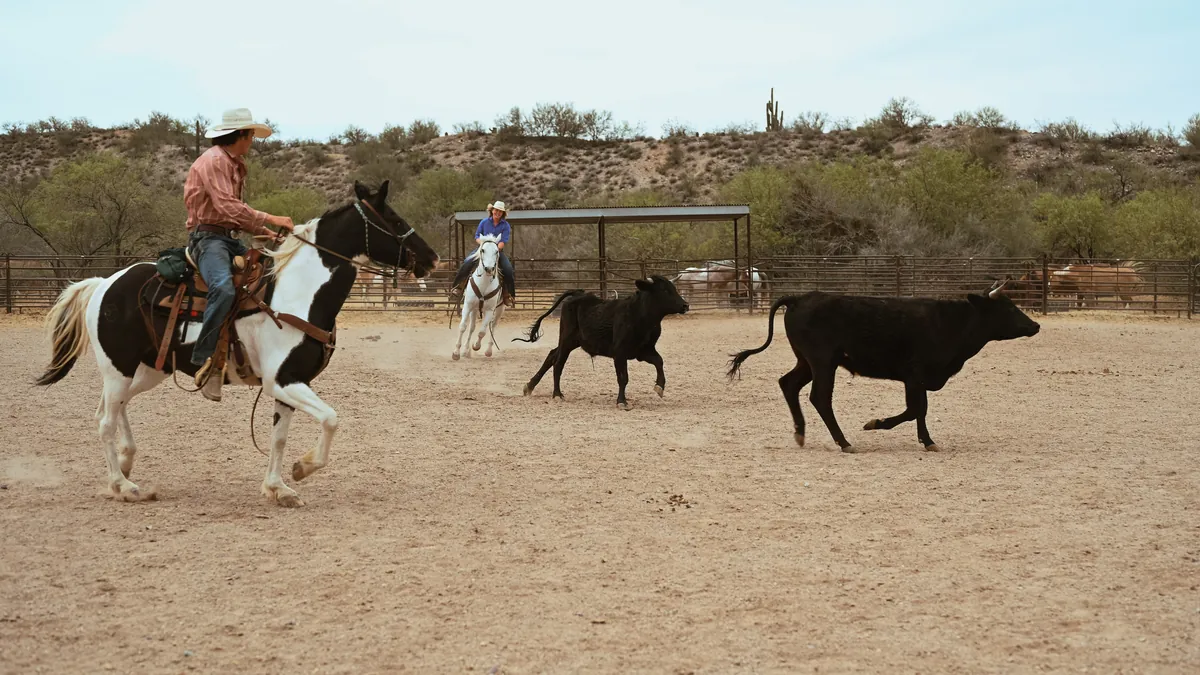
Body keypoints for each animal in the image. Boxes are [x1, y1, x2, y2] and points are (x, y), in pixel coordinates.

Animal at [514, 275, 690, 409]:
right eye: (665, 290)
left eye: (674, 288)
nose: (685, 305)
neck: (640, 315)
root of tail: (578, 295)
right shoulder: (620, 353)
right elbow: (623, 377)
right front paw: (621, 401)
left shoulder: (644, 351)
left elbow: (659, 362)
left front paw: (660, 387)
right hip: (566, 339)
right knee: (558, 363)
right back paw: (557, 394)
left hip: (573, 341)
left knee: (552, 356)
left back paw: (529, 386)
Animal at [726, 280, 1040, 452]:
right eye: (1009, 308)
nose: (1035, 325)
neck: (950, 322)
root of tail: (800, 298)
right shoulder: (914, 376)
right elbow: (915, 409)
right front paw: (875, 423)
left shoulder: (919, 380)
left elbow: (921, 410)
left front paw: (927, 440)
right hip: (823, 362)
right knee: (820, 398)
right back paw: (844, 442)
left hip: (807, 361)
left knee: (788, 384)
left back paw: (801, 433)